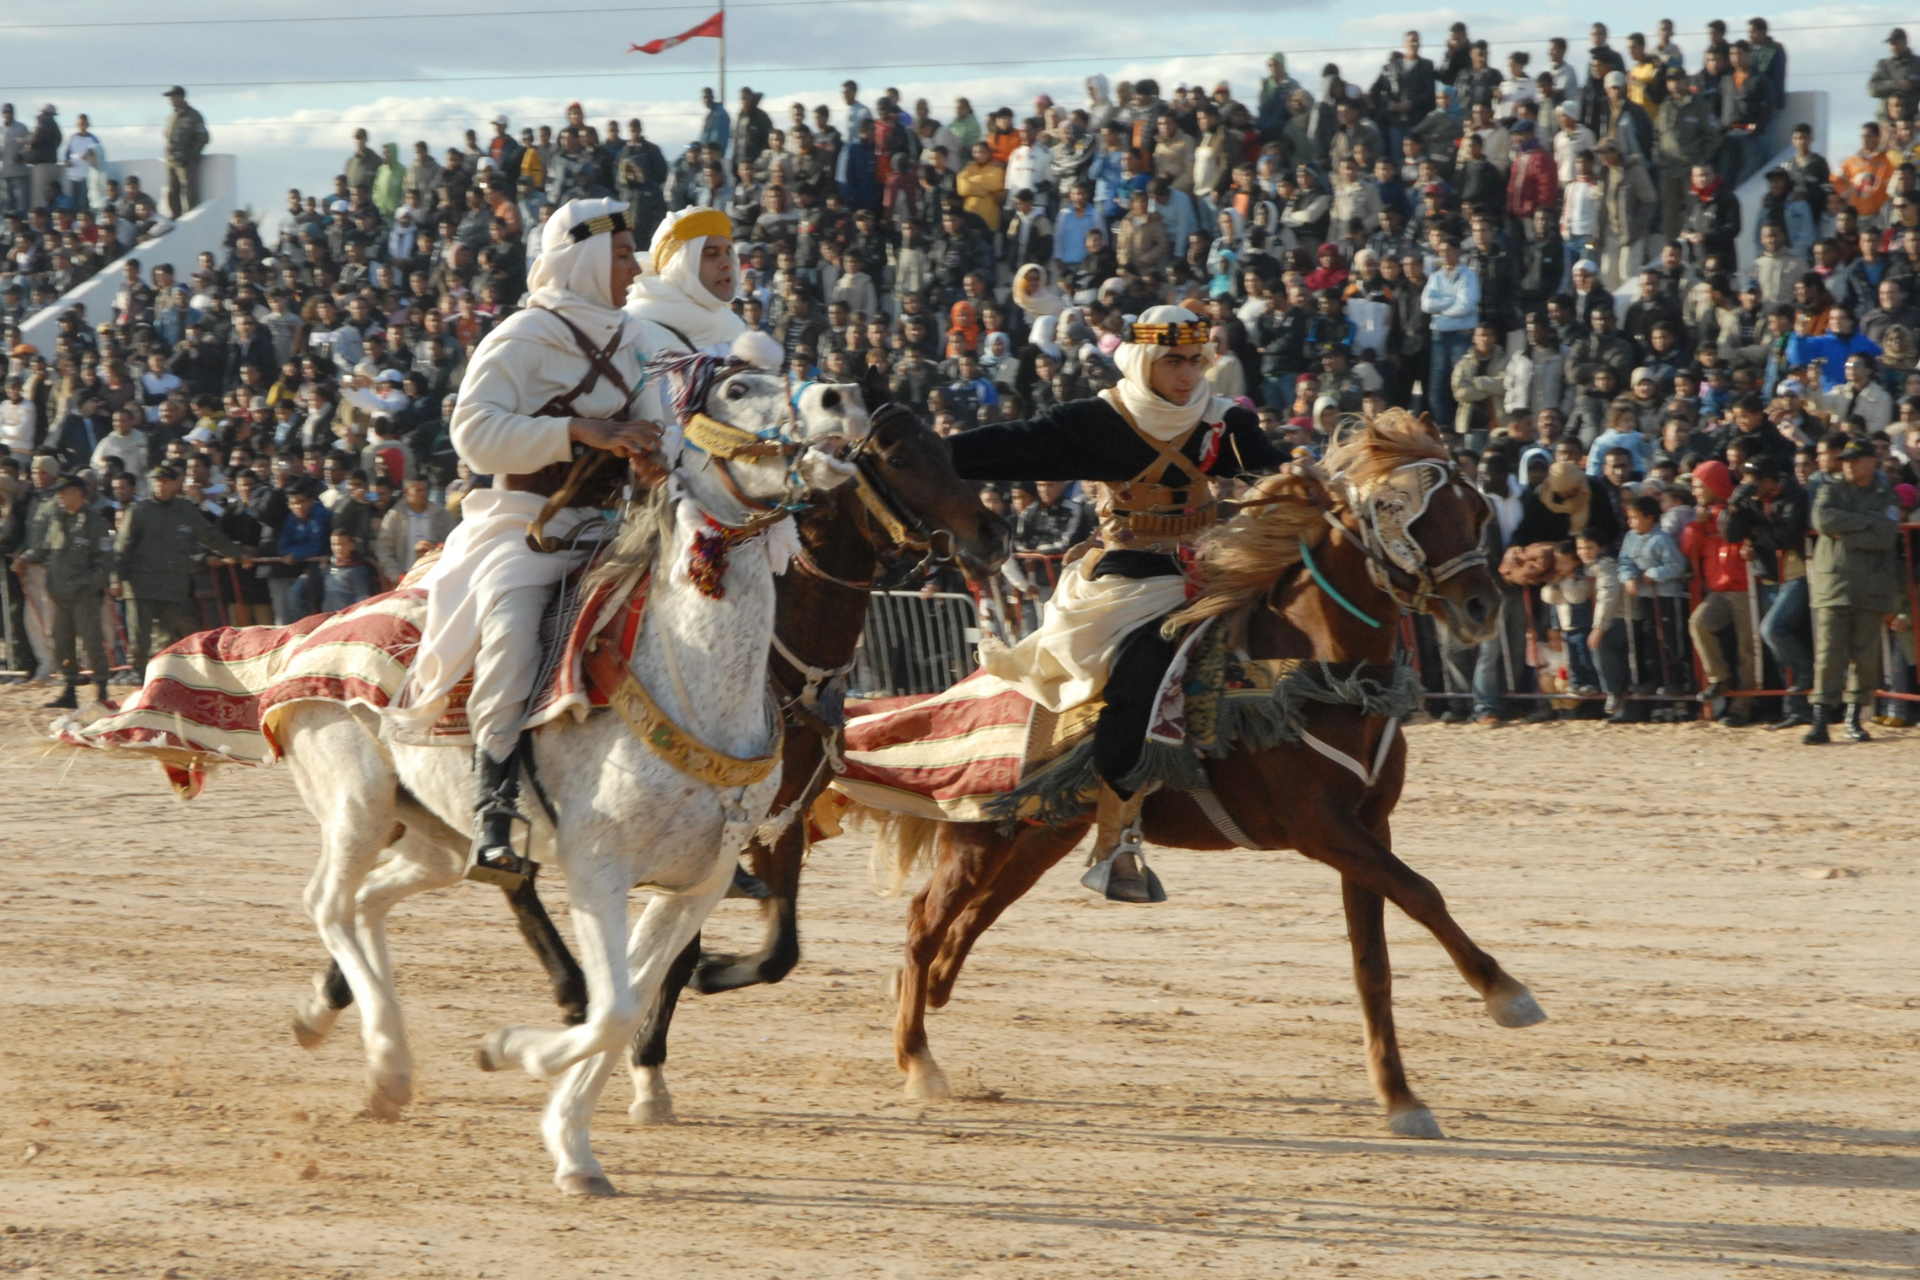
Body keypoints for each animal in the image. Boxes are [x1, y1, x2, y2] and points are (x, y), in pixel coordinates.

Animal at [856, 412, 1543, 1143]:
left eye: (1475, 510)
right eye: (1402, 511)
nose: (1480, 606)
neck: (1315, 675)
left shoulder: (1368, 826)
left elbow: (1373, 963)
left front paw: (1400, 1096)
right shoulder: (1319, 826)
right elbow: (1423, 893)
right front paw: (1508, 995)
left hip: (1044, 833)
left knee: (973, 916)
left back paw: (926, 993)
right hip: (982, 831)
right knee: (925, 920)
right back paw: (916, 1057)